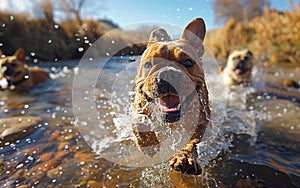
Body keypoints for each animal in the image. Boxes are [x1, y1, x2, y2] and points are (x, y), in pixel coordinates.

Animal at [132, 18, 210, 175]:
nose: (167, 73)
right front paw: (148, 142)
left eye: (188, 62)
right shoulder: (138, 103)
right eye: (148, 65)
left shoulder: (201, 121)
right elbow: (139, 119)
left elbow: (192, 142)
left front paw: (185, 157)